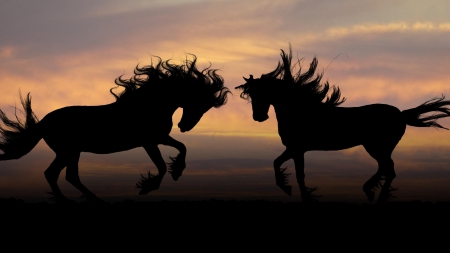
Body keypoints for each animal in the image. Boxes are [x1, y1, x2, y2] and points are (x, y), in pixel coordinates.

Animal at [0, 54, 230, 203]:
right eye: (199, 102)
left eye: (207, 108)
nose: (185, 126)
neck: (150, 104)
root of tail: (44, 122)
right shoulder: (149, 141)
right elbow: (162, 165)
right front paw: (147, 187)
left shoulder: (159, 137)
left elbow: (182, 147)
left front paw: (177, 172)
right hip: (68, 151)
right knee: (57, 174)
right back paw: (78, 201)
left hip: (70, 152)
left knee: (64, 175)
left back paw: (88, 200)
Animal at [236, 47, 450, 204]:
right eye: (250, 95)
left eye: (262, 92)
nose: (259, 117)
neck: (300, 110)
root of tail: (400, 114)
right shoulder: (294, 149)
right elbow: (278, 164)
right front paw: (288, 189)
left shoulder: (297, 149)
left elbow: (298, 174)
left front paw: (299, 195)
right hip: (381, 147)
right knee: (387, 169)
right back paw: (371, 193)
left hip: (375, 146)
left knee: (388, 169)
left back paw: (372, 194)